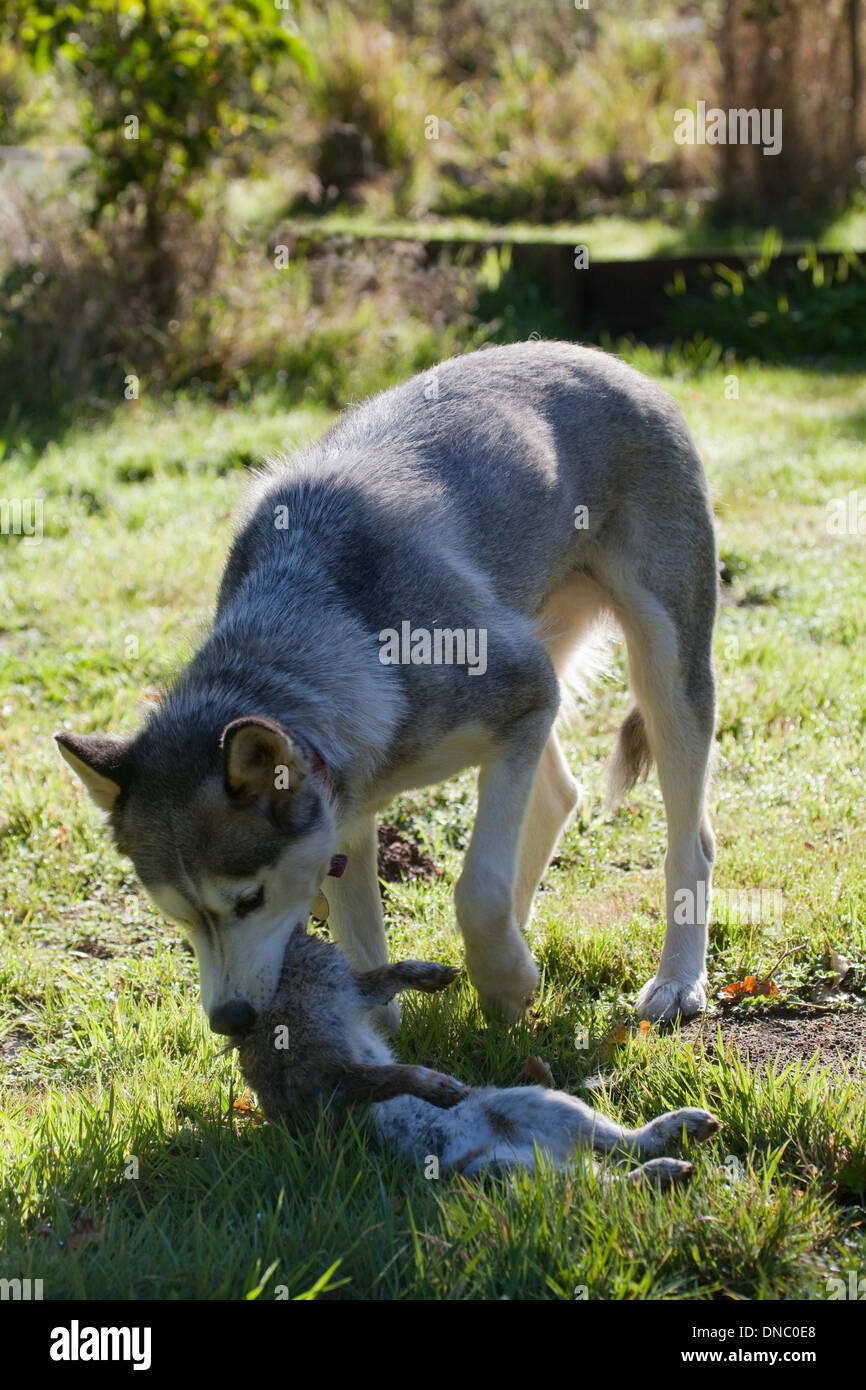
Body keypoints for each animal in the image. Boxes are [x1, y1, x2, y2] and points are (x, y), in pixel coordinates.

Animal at [55, 339, 717, 1034]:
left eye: (249, 900)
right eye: (179, 917)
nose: (230, 1019)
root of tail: (600, 356)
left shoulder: (522, 699)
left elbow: (477, 887)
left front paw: (504, 985)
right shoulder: (347, 817)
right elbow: (364, 949)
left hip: (664, 669)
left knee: (690, 843)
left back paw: (676, 981)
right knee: (560, 795)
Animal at [237, 928, 722, 1189]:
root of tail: (549, 1150)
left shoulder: (351, 999)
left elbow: (386, 980)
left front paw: (436, 976)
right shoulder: (323, 1080)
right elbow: (386, 1075)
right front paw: (441, 1088)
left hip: (542, 1106)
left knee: (626, 1145)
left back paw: (689, 1129)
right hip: (507, 1169)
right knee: (609, 1182)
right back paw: (672, 1168)